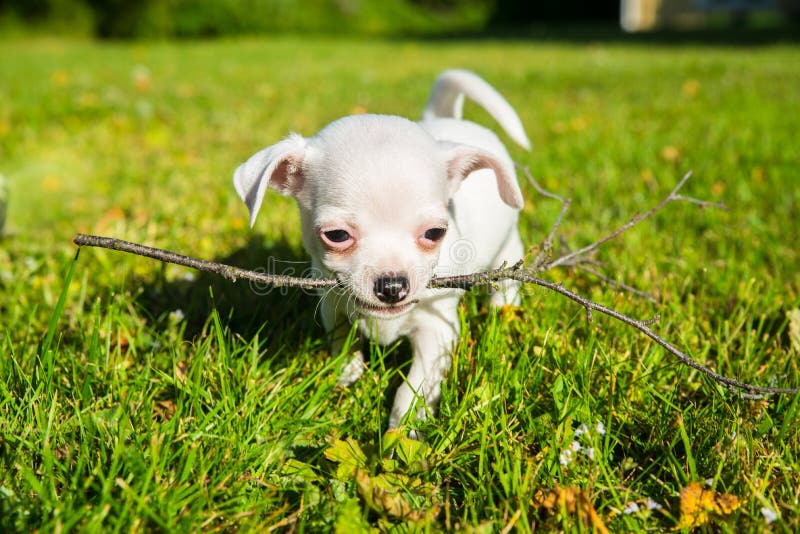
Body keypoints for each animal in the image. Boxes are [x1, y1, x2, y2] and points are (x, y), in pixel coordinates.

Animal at [233, 71, 532, 432]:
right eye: (336, 235)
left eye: (435, 233)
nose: (392, 286)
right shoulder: (332, 304)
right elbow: (342, 341)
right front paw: (348, 373)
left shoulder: (437, 330)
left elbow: (414, 386)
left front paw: (405, 427)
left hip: (508, 248)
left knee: (506, 282)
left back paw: (502, 309)